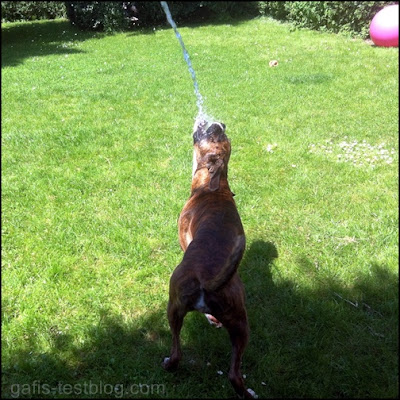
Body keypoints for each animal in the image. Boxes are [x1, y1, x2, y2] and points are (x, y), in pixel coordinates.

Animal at [162, 121, 256, 396]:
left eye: (212, 137)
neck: (215, 187)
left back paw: (168, 364)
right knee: (234, 374)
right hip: (240, 324)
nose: (217, 123)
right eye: (221, 137)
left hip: (173, 307)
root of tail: (207, 280)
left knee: (177, 352)